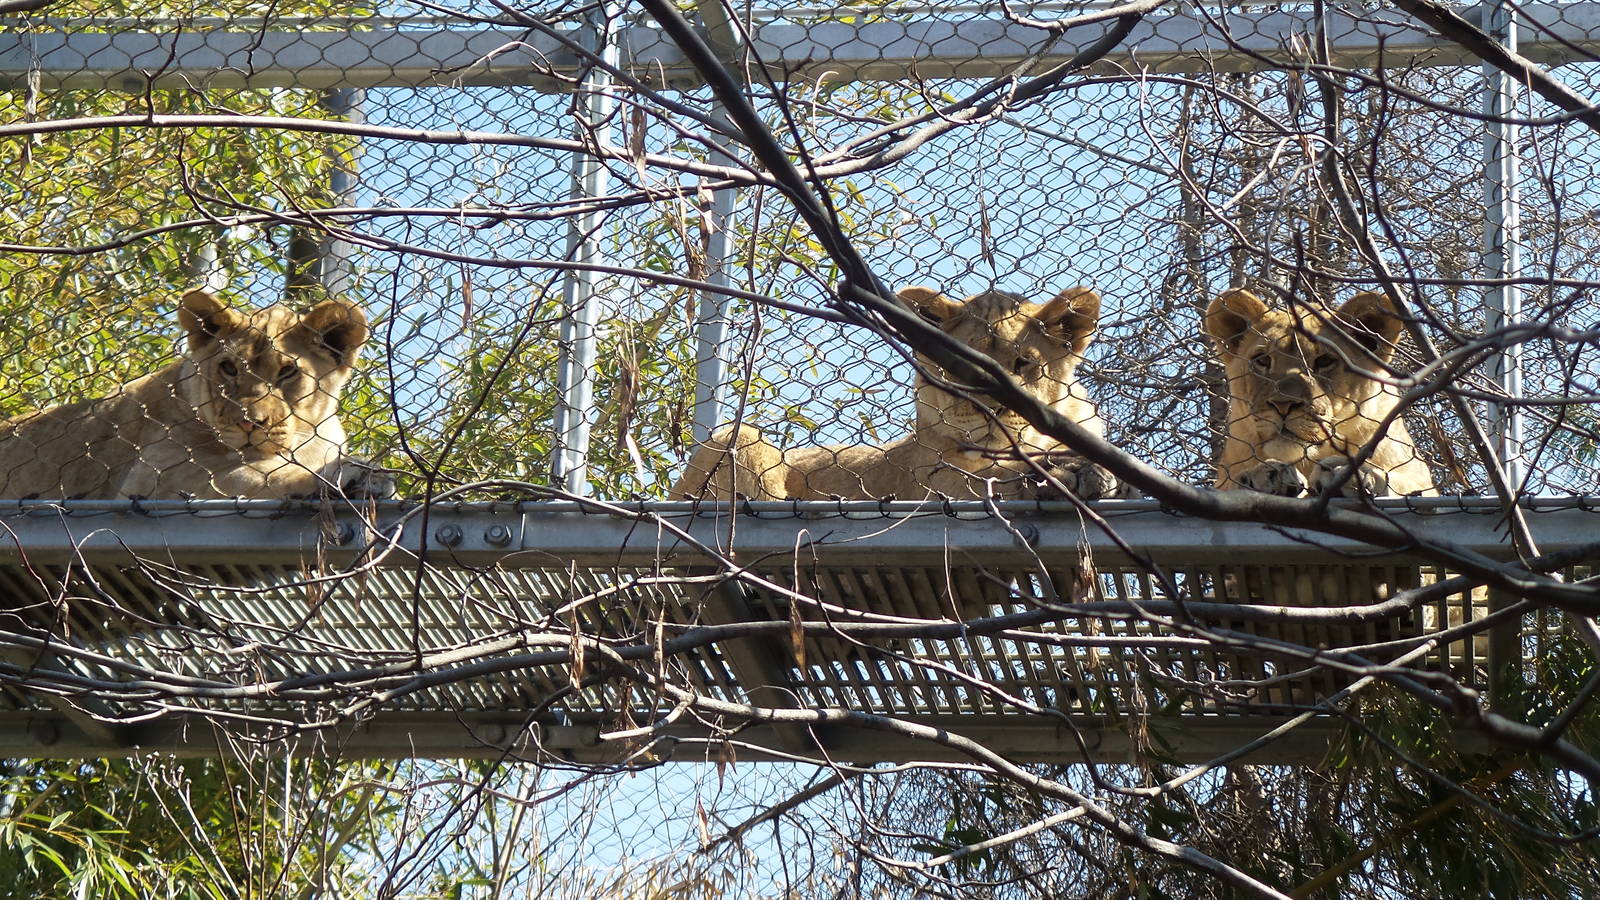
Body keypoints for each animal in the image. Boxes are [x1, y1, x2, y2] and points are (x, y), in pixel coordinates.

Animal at [0, 289, 390, 500]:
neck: (302, 441)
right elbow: (260, 475)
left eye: (287, 371)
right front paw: (355, 475)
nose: (249, 423)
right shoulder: (156, 477)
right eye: (229, 368)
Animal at [673, 285, 1119, 502]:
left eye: (1023, 363)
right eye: (957, 364)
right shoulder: (932, 480)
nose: (989, 408)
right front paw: (1065, 472)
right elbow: (991, 477)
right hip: (739, 437)